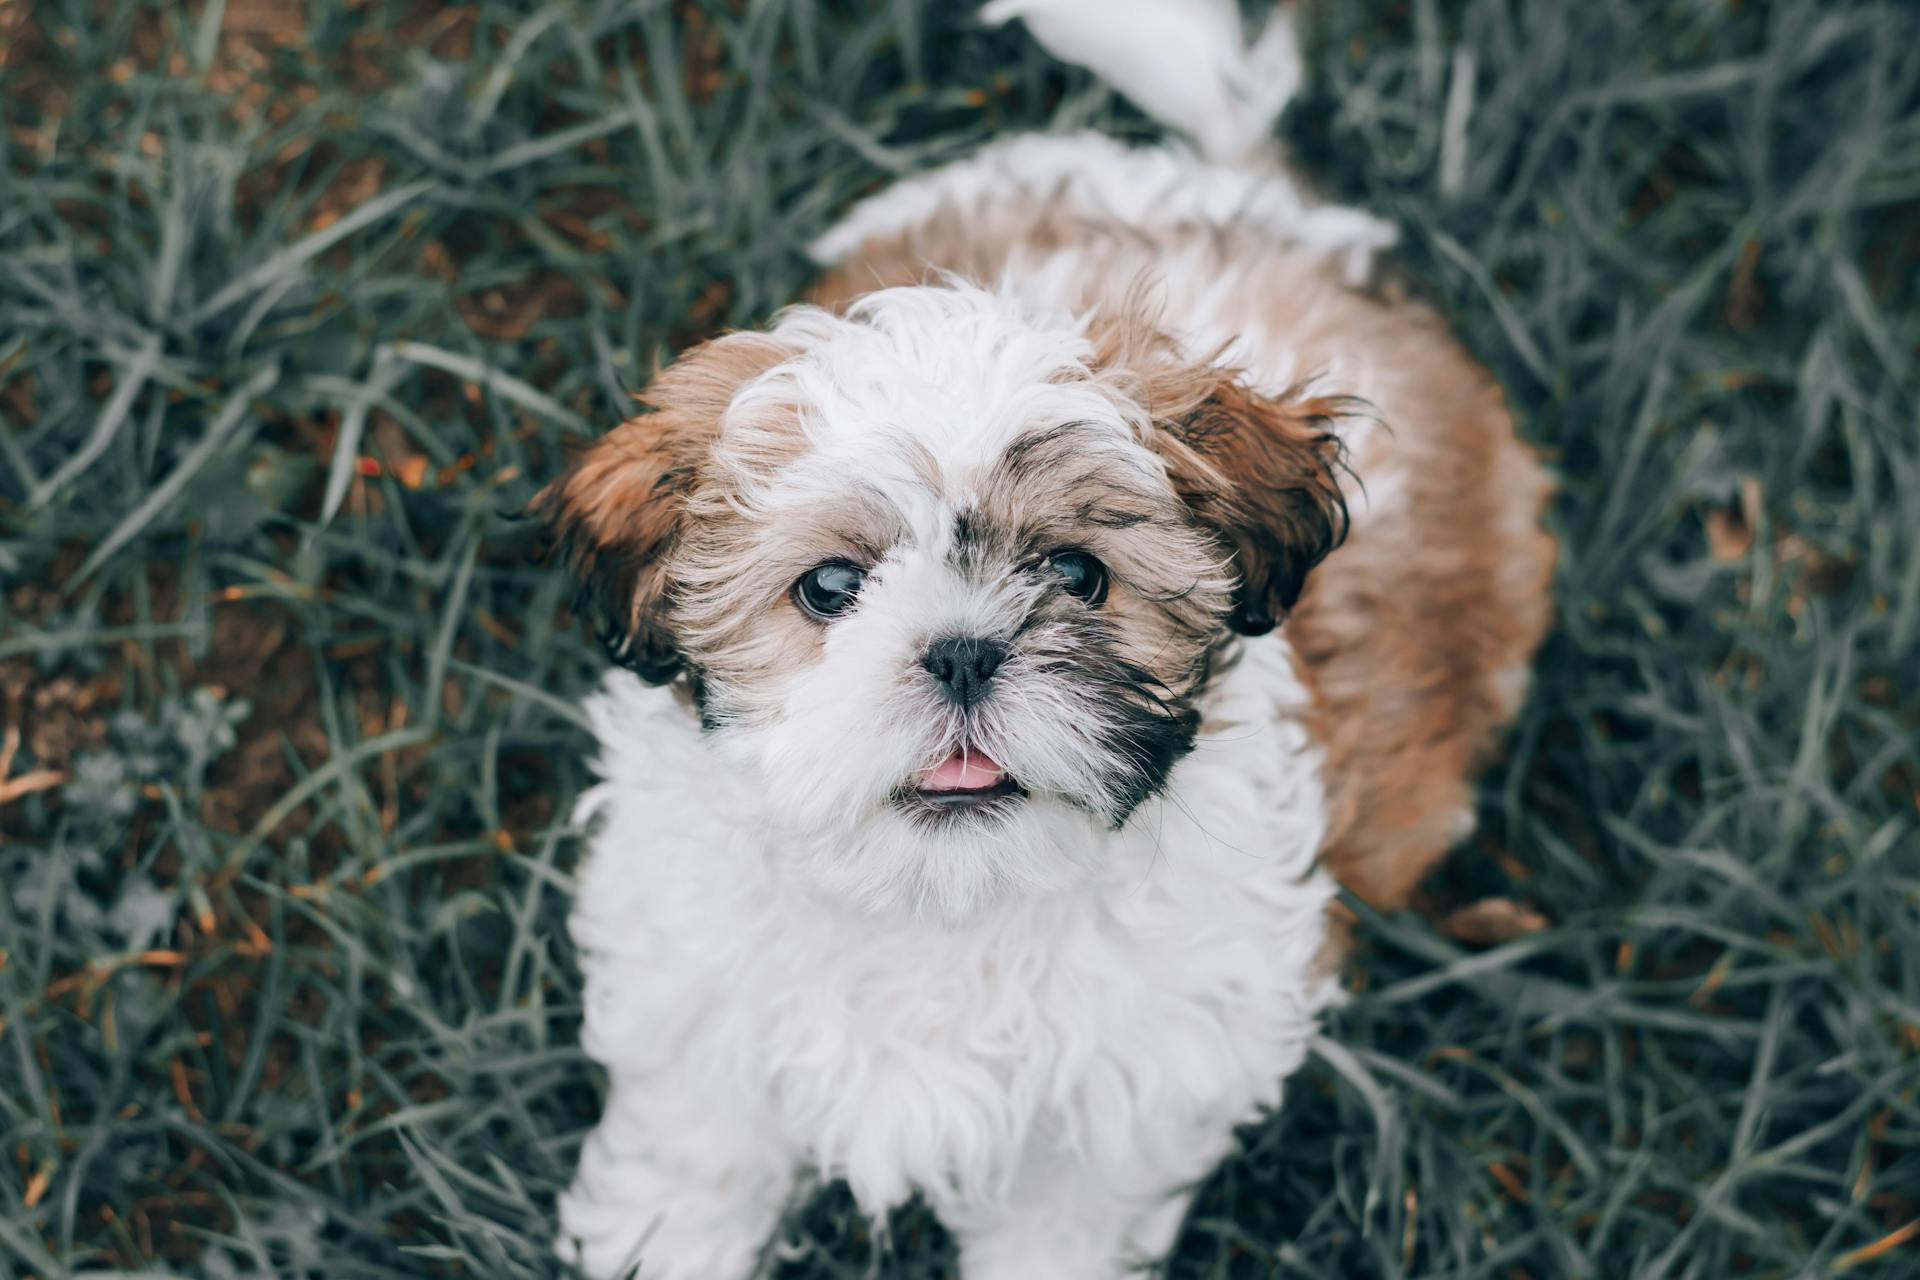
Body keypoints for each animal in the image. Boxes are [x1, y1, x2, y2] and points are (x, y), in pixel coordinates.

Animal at [545, 2, 1559, 1280]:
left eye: (1079, 575)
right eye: (829, 587)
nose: (963, 650)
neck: (941, 900)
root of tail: (1259, 205)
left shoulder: (1146, 1077)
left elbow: (1065, 1213)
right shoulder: (694, 976)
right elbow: (700, 1125)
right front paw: (665, 1233)